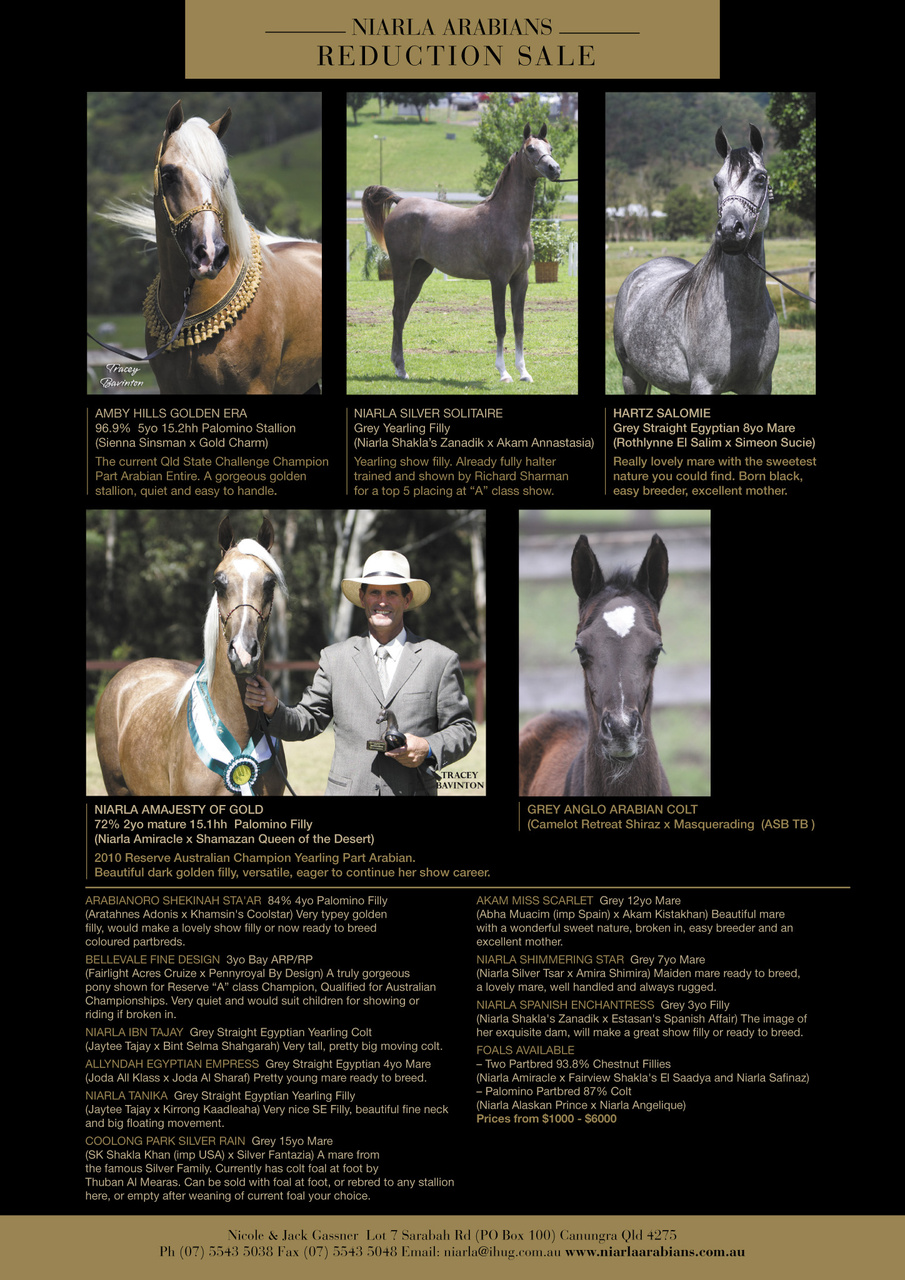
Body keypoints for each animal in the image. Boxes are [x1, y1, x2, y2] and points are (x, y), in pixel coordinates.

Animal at [361, 123, 565, 384]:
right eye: (530, 149)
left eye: (550, 148)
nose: (554, 169)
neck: (506, 219)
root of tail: (402, 201)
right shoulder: (498, 279)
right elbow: (501, 324)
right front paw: (504, 372)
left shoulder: (521, 279)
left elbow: (519, 324)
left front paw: (524, 372)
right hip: (402, 268)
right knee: (397, 311)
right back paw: (401, 369)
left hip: (421, 270)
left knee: (403, 312)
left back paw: (399, 367)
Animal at [613, 125, 779, 395]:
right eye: (716, 182)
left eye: (760, 178)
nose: (730, 230)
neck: (744, 315)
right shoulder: (704, 385)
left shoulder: (761, 386)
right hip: (631, 375)